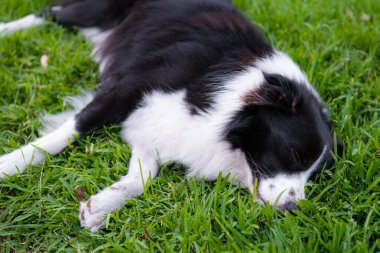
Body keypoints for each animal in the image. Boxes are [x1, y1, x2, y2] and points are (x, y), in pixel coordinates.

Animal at [0, 0, 342, 232]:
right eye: (294, 154)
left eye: (315, 175)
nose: (293, 209)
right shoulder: (128, 87)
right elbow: (69, 130)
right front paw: (11, 165)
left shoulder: (158, 120)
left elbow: (143, 176)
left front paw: (101, 206)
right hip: (95, 9)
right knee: (50, 13)